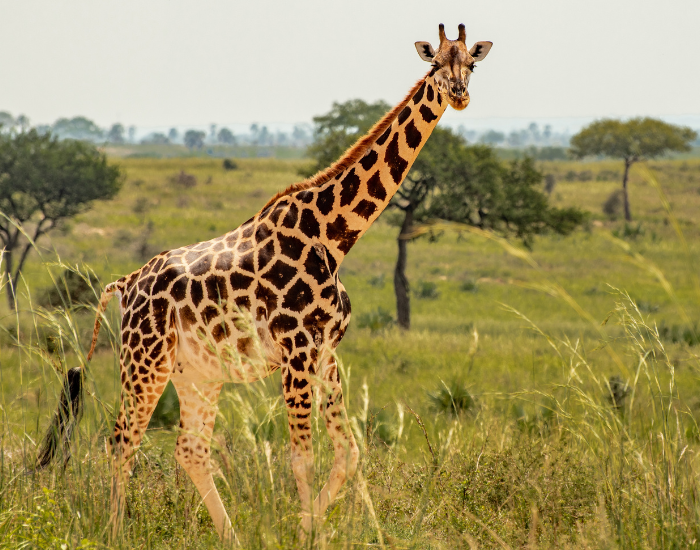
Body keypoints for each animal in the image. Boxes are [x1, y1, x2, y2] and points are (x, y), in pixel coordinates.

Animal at [36, 23, 492, 543]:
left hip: (196, 374)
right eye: (434, 64)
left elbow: (350, 453)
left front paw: (338, 531)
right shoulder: (297, 349)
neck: (334, 236)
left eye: (471, 64)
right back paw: (115, 534)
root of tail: (126, 283)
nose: (459, 95)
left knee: (190, 450)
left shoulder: (325, 351)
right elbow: (303, 458)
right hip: (144, 361)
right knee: (121, 441)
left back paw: (230, 537)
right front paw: (307, 535)